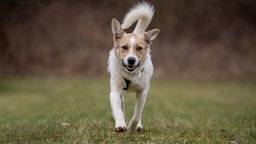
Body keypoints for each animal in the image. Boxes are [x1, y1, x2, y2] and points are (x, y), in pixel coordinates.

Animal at [107, 2, 159, 133]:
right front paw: (120, 125)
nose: (131, 59)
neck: (130, 74)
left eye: (139, 48)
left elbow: (137, 114)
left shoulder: (142, 92)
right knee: (122, 106)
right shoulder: (115, 91)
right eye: (124, 47)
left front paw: (132, 127)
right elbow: (118, 110)